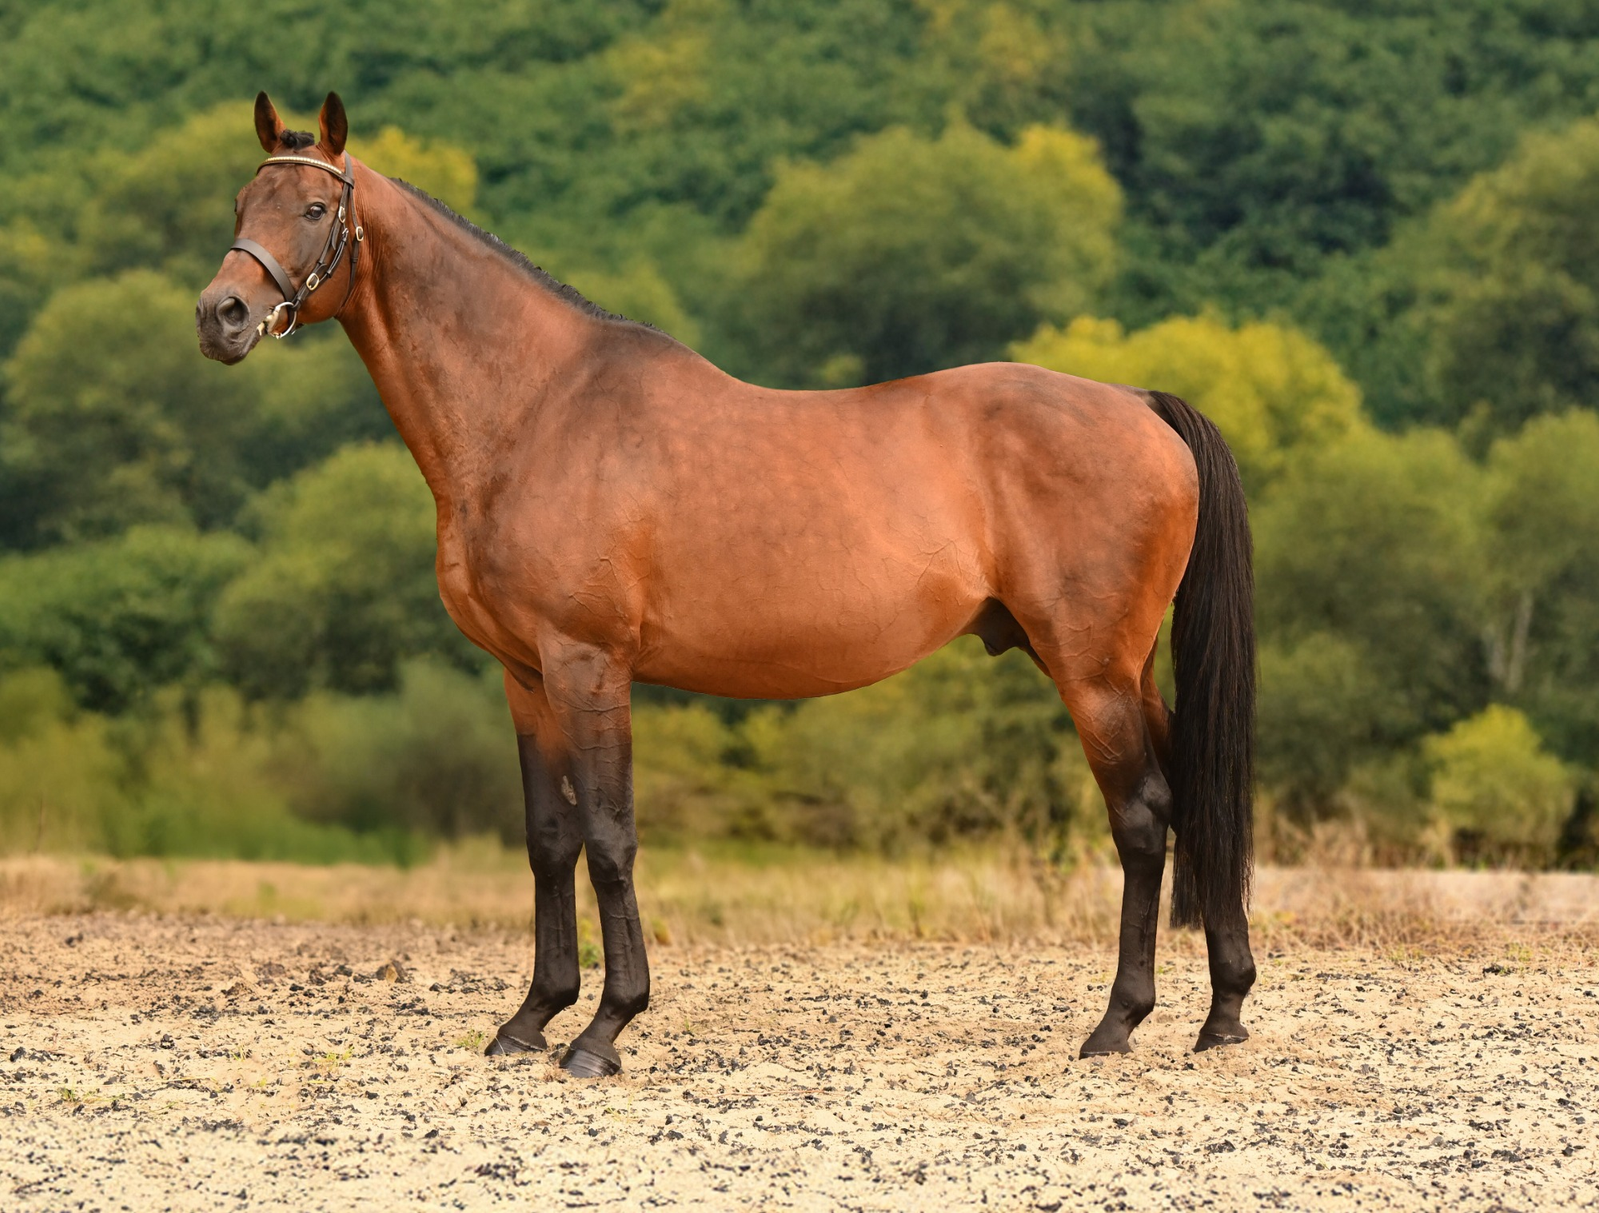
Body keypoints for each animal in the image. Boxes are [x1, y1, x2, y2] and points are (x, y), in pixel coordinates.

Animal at [198, 93, 1257, 1078]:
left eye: (312, 206)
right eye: (242, 201)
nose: (221, 316)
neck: (535, 411)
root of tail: (1136, 404)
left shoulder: (588, 666)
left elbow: (609, 837)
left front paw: (604, 1028)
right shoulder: (524, 675)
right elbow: (549, 839)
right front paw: (530, 1017)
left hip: (1089, 669)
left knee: (1143, 816)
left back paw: (1117, 1023)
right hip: (1120, 667)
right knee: (1197, 797)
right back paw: (1222, 1011)